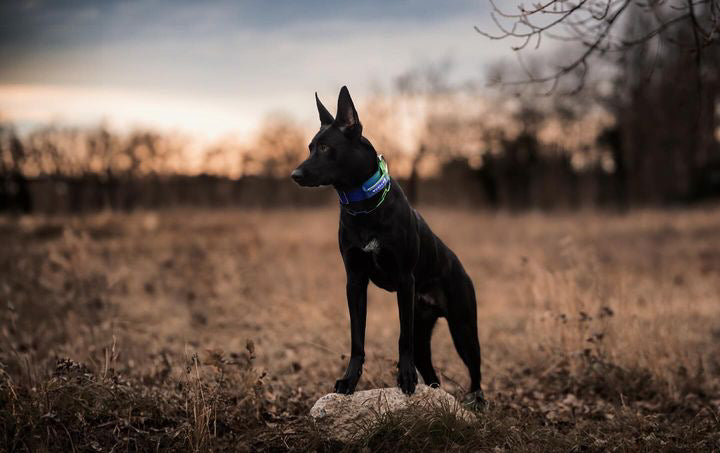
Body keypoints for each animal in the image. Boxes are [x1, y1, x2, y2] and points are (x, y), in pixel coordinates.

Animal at [292, 86, 484, 404]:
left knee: (475, 369)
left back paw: (478, 401)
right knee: (429, 368)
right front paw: (349, 380)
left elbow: (401, 338)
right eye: (310, 147)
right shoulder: (355, 282)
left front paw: (404, 378)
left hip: (463, 327)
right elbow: (357, 339)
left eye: (325, 148)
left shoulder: (405, 281)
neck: (364, 205)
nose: (294, 175)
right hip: (424, 330)